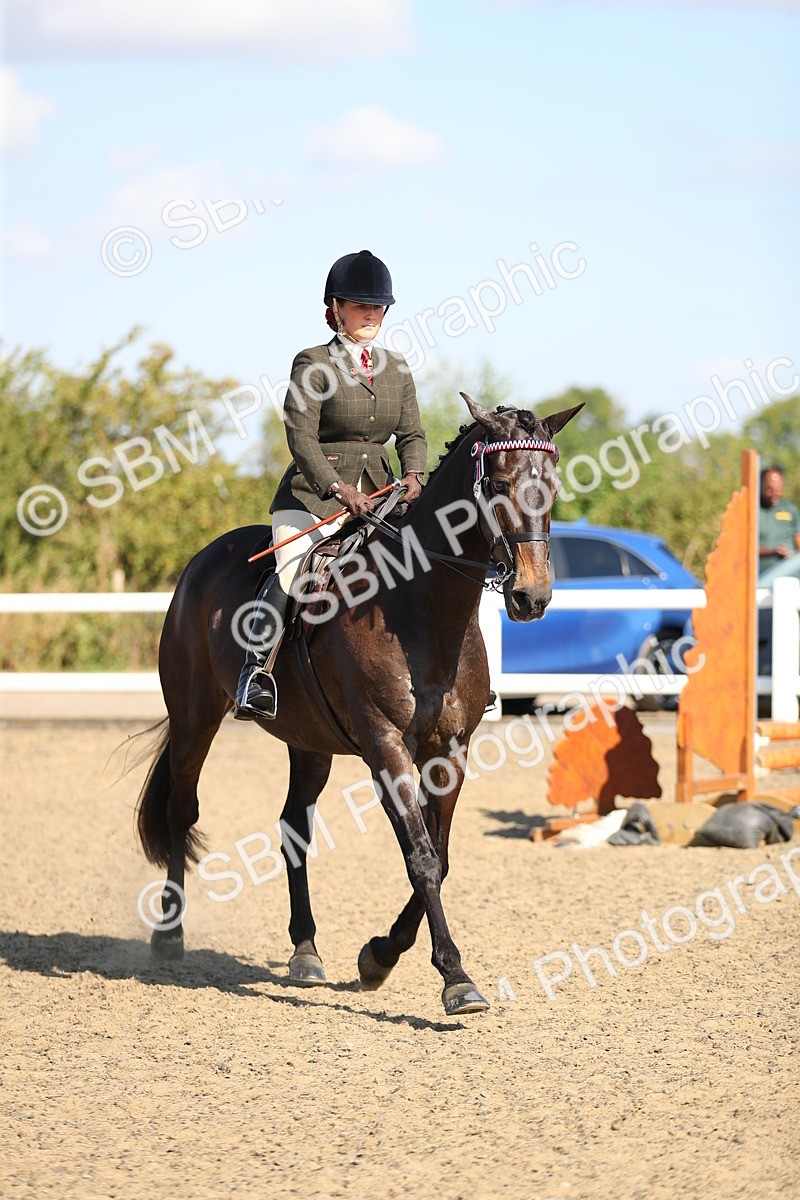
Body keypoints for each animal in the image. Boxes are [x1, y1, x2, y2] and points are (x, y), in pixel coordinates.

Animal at [135, 392, 583, 1016]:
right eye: (497, 483)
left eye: (553, 486)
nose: (531, 597)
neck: (420, 608)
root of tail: (204, 560)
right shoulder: (385, 747)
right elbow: (421, 857)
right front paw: (455, 979)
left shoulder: (451, 750)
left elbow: (441, 857)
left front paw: (379, 956)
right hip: (195, 716)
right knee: (182, 810)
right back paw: (169, 935)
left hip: (308, 741)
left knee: (293, 826)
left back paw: (305, 950)